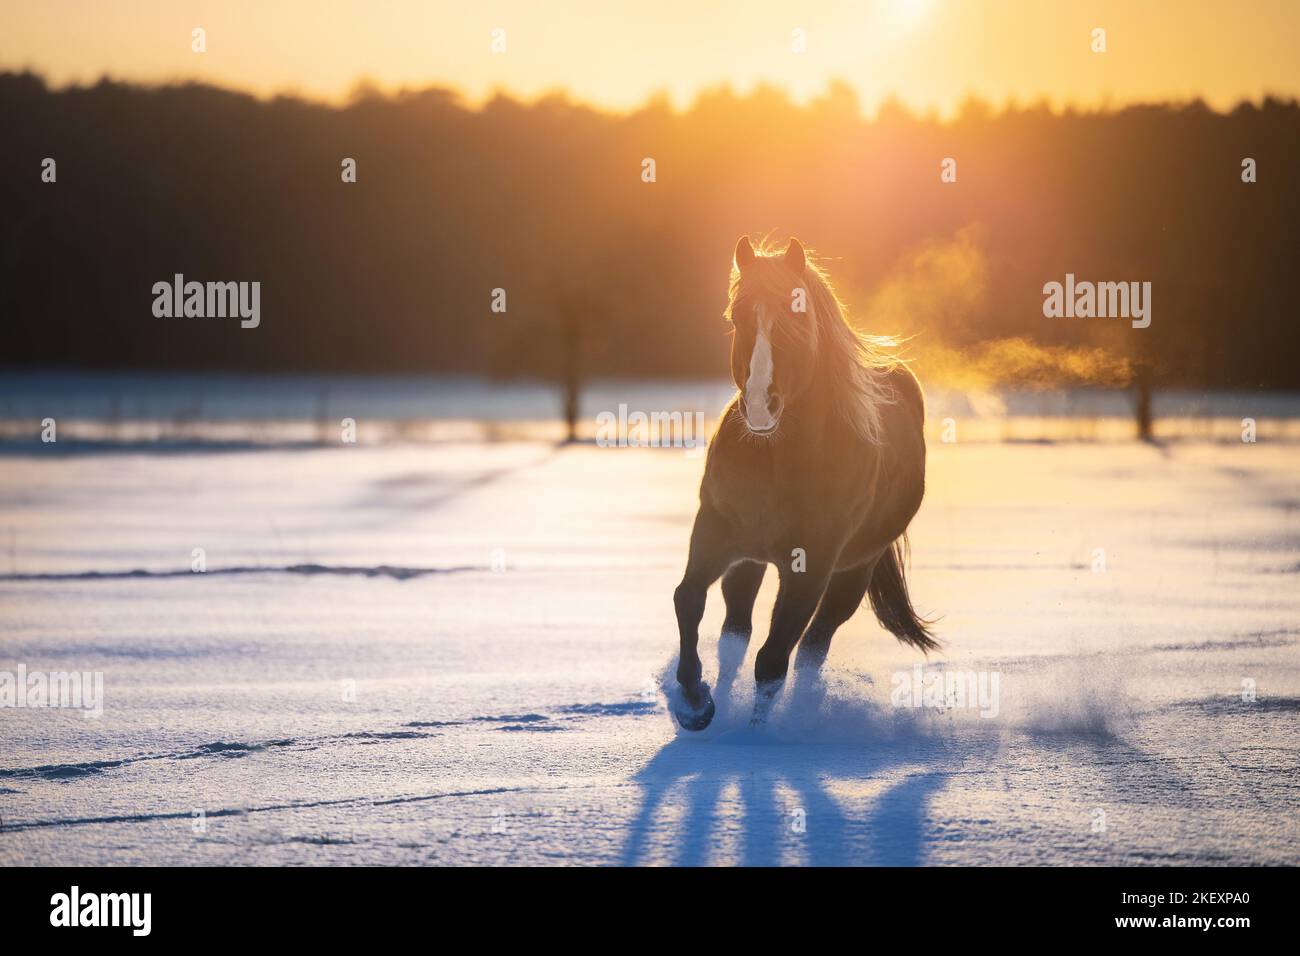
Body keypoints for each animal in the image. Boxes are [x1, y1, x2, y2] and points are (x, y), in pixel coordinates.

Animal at [671, 235, 936, 732]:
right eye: (735, 316)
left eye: (795, 315)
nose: (760, 405)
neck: (776, 460)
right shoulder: (716, 532)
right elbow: (688, 599)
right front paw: (695, 703)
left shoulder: (811, 565)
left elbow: (774, 660)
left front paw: (755, 738)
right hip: (749, 561)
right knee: (735, 633)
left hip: (852, 574)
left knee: (813, 648)